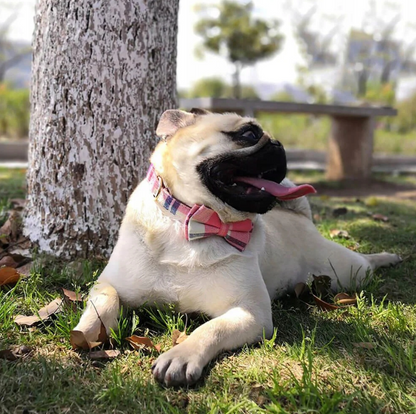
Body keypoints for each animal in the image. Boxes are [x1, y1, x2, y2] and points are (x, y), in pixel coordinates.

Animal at [73, 108, 402, 386]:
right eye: (249, 134)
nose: (279, 145)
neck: (193, 222)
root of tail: (299, 218)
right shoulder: (109, 282)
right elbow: (105, 301)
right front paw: (87, 331)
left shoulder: (250, 312)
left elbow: (210, 328)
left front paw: (180, 356)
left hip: (346, 272)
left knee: (365, 264)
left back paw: (387, 257)